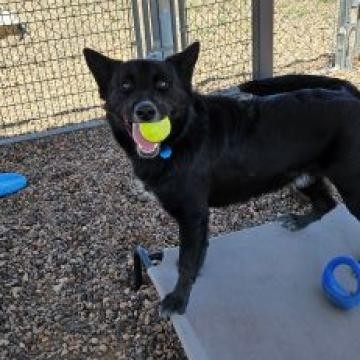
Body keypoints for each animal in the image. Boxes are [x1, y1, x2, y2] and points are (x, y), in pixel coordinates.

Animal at [83, 42, 360, 316]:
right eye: (125, 86)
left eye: (163, 84)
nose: (145, 111)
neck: (181, 135)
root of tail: (351, 96)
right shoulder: (199, 216)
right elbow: (197, 252)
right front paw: (195, 275)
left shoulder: (192, 213)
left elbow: (187, 260)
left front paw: (178, 300)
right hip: (304, 177)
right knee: (326, 203)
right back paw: (298, 222)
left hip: (350, 186)